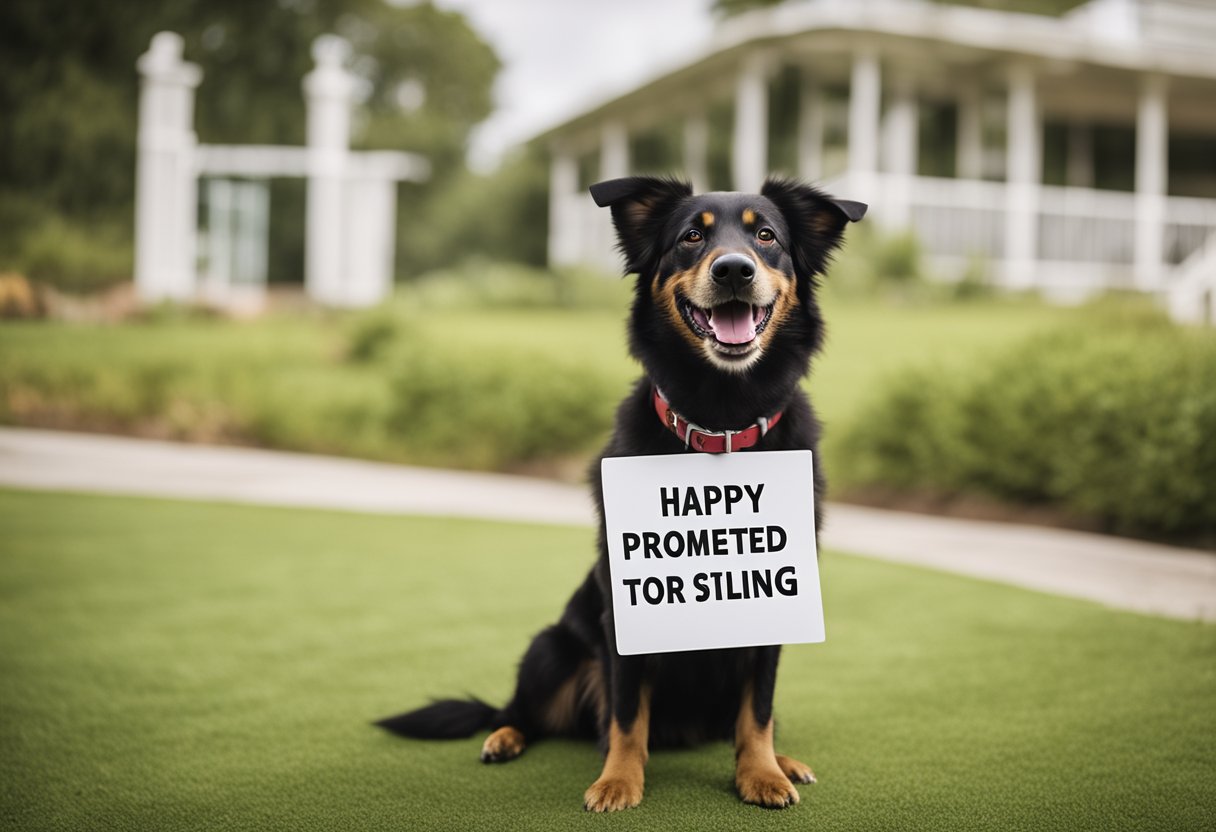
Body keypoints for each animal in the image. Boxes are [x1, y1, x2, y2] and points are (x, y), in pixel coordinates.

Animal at [376, 177, 865, 812]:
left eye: (766, 236)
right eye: (691, 236)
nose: (734, 270)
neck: (720, 426)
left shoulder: (778, 608)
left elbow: (756, 712)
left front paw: (761, 773)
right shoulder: (622, 620)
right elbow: (628, 715)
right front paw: (618, 781)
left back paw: (784, 760)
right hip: (551, 649)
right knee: (524, 711)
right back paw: (503, 737)